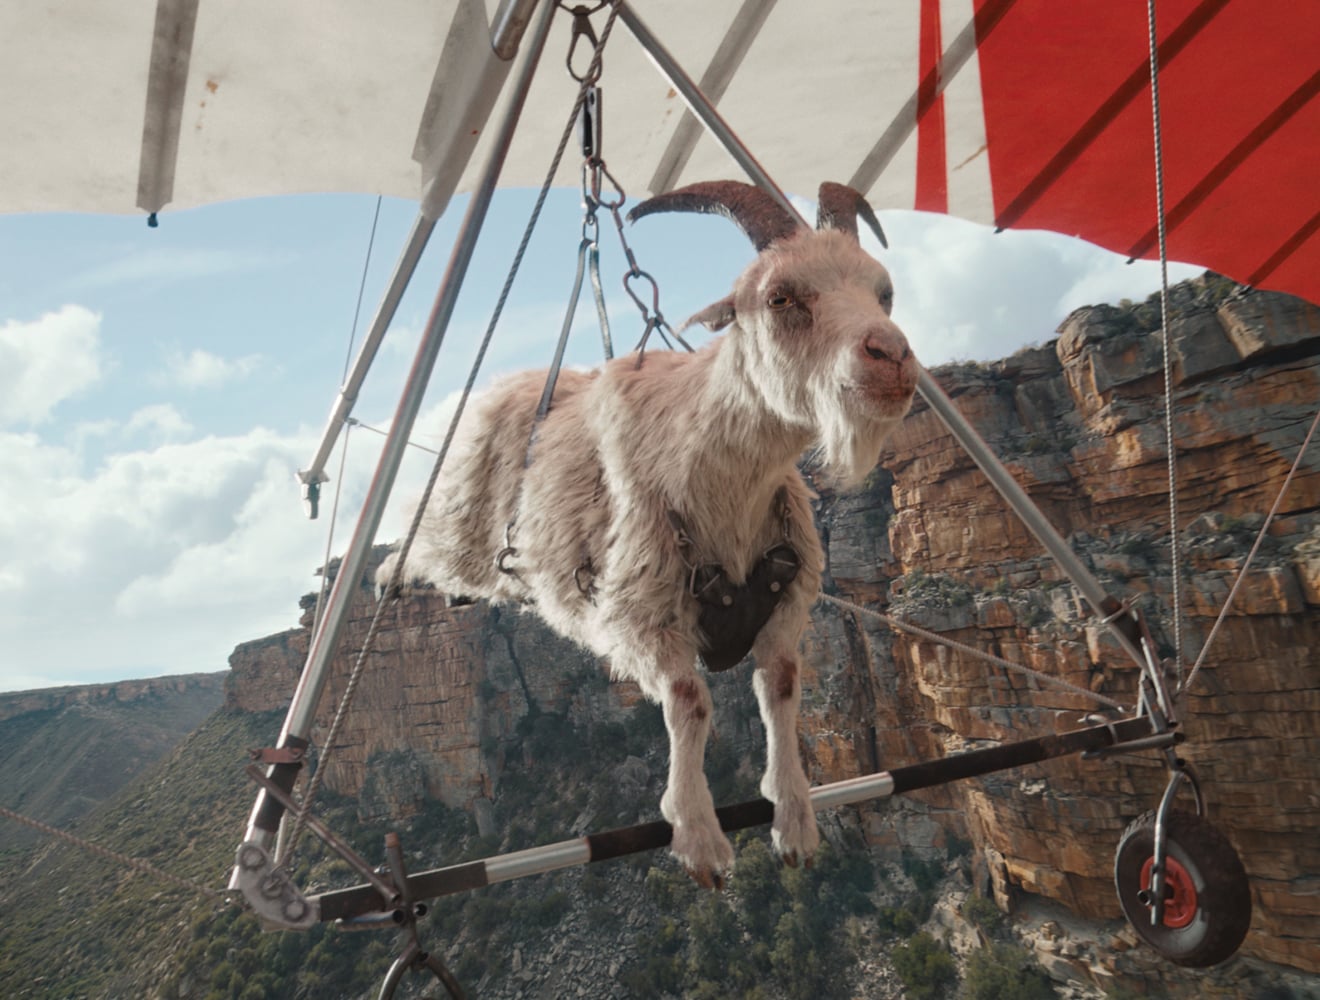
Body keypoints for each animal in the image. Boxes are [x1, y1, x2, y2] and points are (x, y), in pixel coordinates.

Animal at [381, 180, 918, 885]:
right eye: (779, 297)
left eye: (884, 292)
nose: (892, 357)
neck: (718, 480)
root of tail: (508, 381)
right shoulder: (639, 614)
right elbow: (690, 700)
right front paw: (699, 838)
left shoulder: (786, 604)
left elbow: (779, 689)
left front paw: (795, 820)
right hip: (460, 519)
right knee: (418, 539)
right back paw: (387, 576)